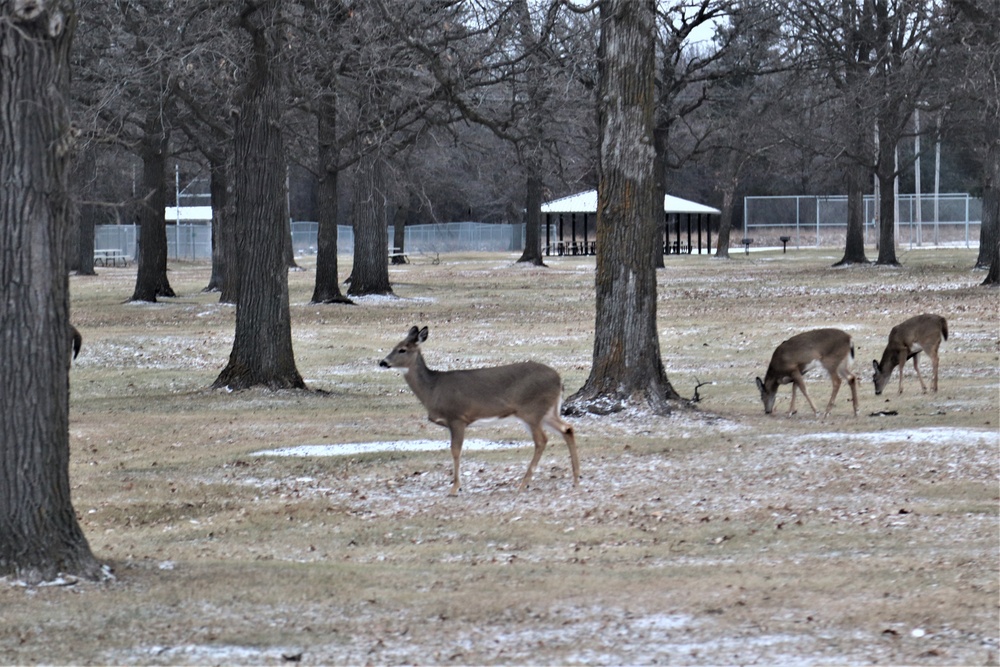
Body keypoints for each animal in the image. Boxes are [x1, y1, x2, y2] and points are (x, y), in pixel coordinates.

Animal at [378, 326, 584, 498]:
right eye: (393, 346)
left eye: (402, 349)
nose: (382, 362)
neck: (433, 389)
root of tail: (559, 379)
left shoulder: (457, 417)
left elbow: (455, 450)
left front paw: (455, 488)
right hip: (547, 412)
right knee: (567, 429)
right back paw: (575, 479)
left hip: (531, 411)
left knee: (541, 440)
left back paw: (523, 483)